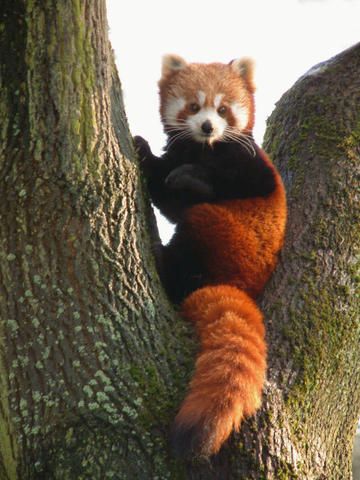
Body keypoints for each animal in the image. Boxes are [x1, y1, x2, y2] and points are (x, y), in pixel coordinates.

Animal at [134, 53, 286, 458]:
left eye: (222, 109)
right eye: (193, 106)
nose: (206, 126)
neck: (204, 149)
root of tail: (243, 285)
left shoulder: (250, 166)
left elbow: (217, 184)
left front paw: (178, 171)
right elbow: (169, 199)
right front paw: (147, 153)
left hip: (225, 235)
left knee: (198, 222)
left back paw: (166, 265)